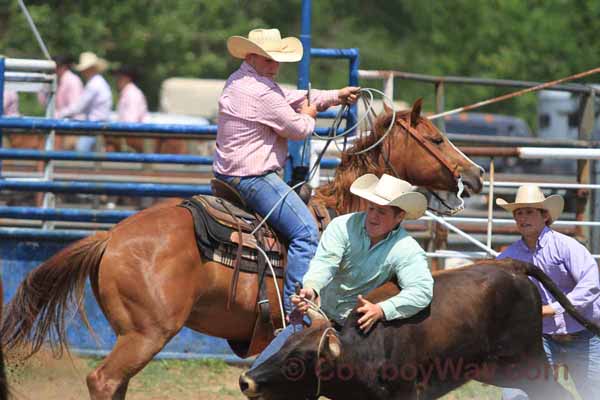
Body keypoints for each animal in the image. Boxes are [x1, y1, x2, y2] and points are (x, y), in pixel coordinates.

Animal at [0, 99, 482, 396]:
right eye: (436, 139)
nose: (475, 174)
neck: (343, 214)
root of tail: (110, 238)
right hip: (146, 334)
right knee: (103, 381)